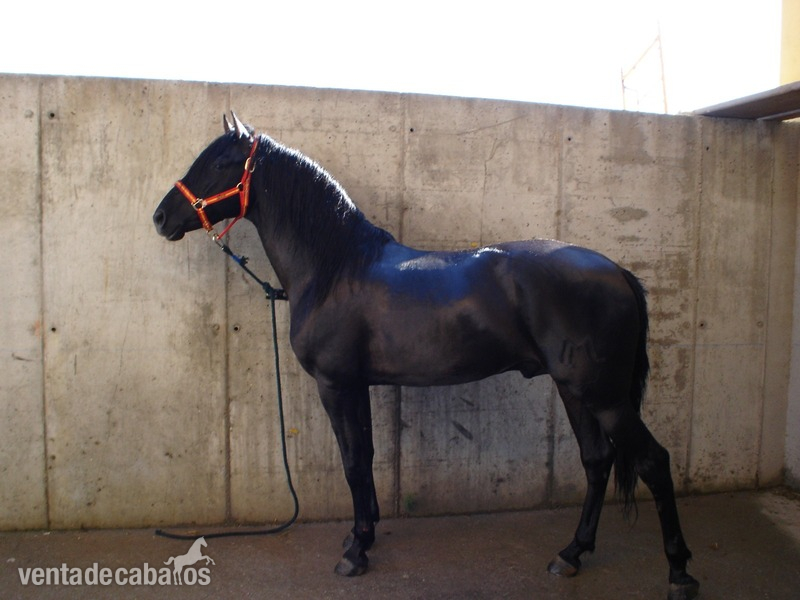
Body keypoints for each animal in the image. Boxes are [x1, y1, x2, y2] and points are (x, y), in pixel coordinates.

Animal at [153, 113, 699, 600]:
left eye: (219, 162)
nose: (160, 218)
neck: (336, 269)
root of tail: (617, 271)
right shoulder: (357, 385)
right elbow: (366, 456)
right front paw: (363, 534)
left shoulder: (336, 384)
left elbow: (353, 461)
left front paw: (355, 553)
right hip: (574, 389)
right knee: (597, 461)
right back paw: (571, 554)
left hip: (603, 394)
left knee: (653, 461)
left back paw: (679, 573)